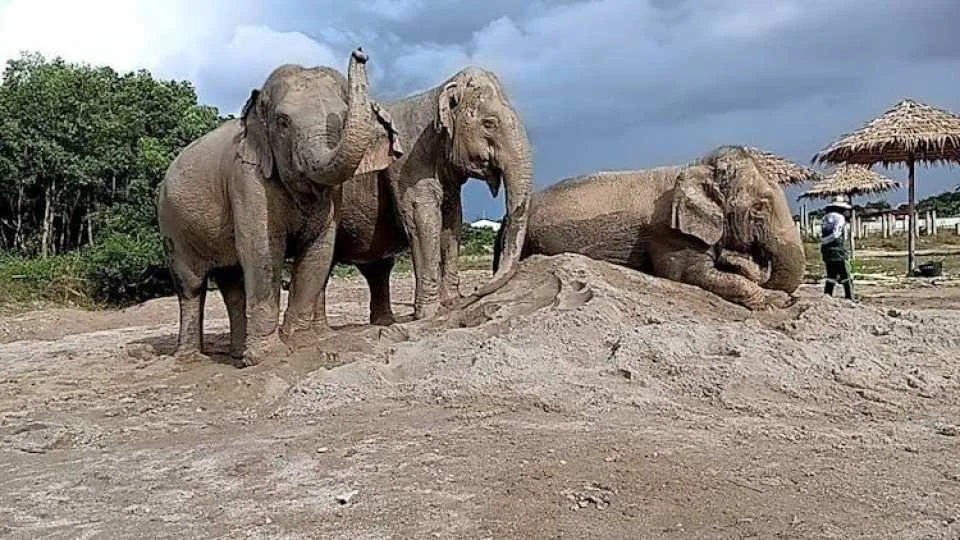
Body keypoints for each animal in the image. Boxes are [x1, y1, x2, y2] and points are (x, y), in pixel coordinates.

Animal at [156, 48, 402, 366]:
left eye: (343, 118)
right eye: (283, 122)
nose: (360, 53)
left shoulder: (333, 197)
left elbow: (319, 250)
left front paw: (300, 343)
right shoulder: (247, 180)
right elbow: (262, 250)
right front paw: (268, 356)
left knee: (231, 283)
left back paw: (237, 354)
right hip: (172, 228)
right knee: (191, 286)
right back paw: (190, 359)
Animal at [330, 66, 533, 324]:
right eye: (489, 123)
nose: (477, 290)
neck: (438, 92)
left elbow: (452, 221)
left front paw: (451, 303)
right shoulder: (407, 166)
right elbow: (423, 222)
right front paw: (428, 314)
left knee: (377, 269)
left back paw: (385, 323)